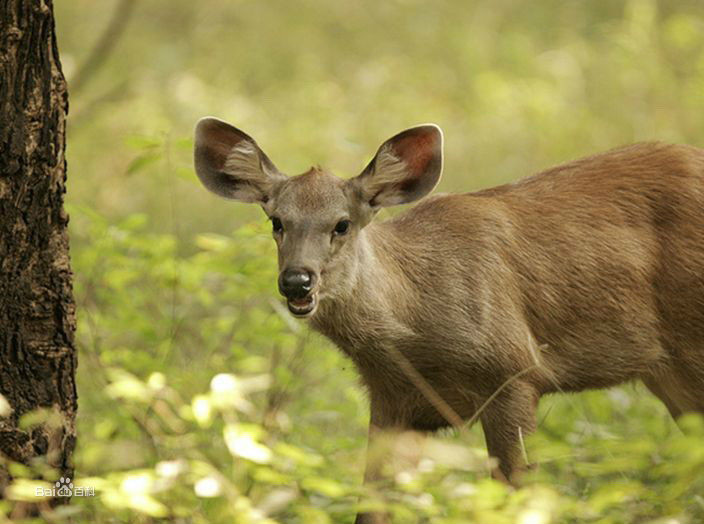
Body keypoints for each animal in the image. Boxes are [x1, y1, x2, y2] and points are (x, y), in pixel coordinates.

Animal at [192, 117, 704, 524]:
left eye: (342, 224)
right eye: (276, 221)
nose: (297, 282)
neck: (416, 326)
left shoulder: (513, 370)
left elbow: (519, 494)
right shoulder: (394, 400)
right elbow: (371, 505)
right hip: (667, 372)